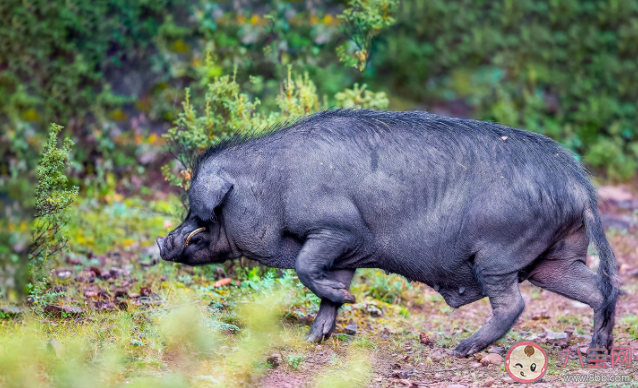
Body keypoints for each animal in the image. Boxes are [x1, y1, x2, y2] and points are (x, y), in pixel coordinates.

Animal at [159, 109, 620, 358]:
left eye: (202, 215)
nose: (162, 242)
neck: (271, 186)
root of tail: (579, 186)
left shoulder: (338, 230)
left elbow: (307, 268)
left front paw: (346, 300)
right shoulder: (344, 253)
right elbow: (325, 291)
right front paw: (315, 336)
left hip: (500, 253)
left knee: (514, 304)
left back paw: (462, 349)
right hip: (554, 257)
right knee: (600, 290)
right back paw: (596, 350)